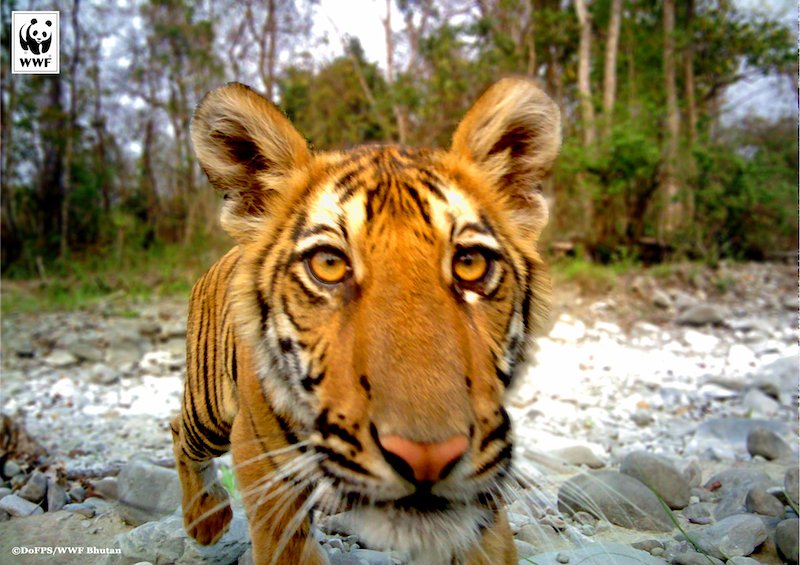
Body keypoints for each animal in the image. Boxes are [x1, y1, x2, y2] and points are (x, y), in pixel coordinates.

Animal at [170, 77, 561, 565]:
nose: (428, 457)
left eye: (469, 264)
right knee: (178, 430)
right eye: (329, 265)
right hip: (209, 410)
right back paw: (205, 517)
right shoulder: (265, 466)